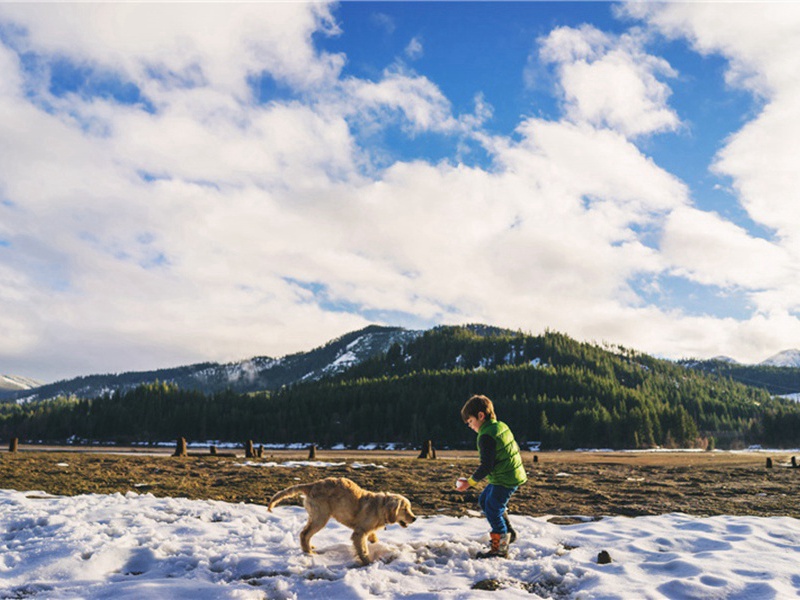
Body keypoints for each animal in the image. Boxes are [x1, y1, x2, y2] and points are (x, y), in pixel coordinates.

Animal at [268, 476, 418, 564]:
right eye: (405, 509)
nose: (415, 518)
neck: (379, 507)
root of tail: (312, 485)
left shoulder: (367, 530)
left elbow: (373, 538)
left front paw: (378, 545)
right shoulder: (359, 532)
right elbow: (363, 549)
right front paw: (368, 562)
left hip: (315, 516)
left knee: (306, 533)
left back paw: (309, 547)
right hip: (321, 517)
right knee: (304, 533)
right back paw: (309, 552)